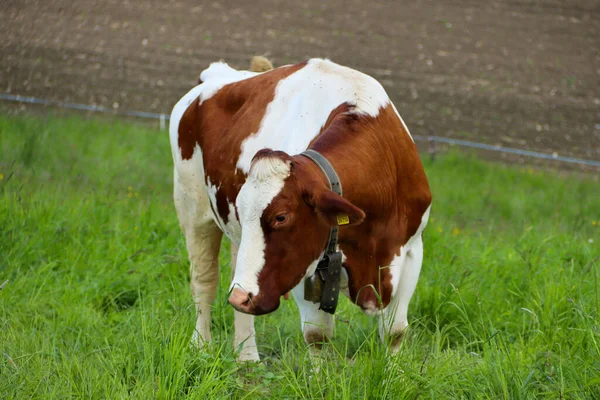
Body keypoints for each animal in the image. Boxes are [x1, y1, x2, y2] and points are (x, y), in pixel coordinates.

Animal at [169, 57, 432, 362]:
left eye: (281, 217)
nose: (242, 298)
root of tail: (219, 74)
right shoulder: (304, 264)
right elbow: (317, 336)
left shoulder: (411, 250)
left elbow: (394, 332)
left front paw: (394, 370)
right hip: (193, 211)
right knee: (204, 283)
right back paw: (201, 347)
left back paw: (247, 357)